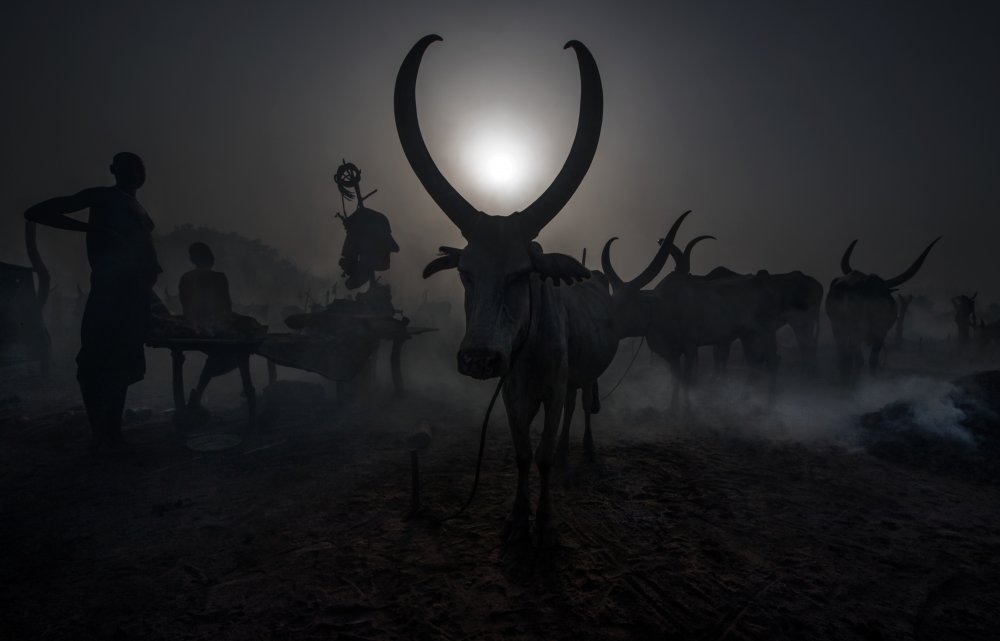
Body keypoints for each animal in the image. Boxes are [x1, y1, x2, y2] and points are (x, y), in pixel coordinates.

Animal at [828, 238, 936, 382]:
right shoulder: (878, 333)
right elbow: (869, 359)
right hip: (854, 329)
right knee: (854, 356)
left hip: (838, 327)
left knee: (845, 354)